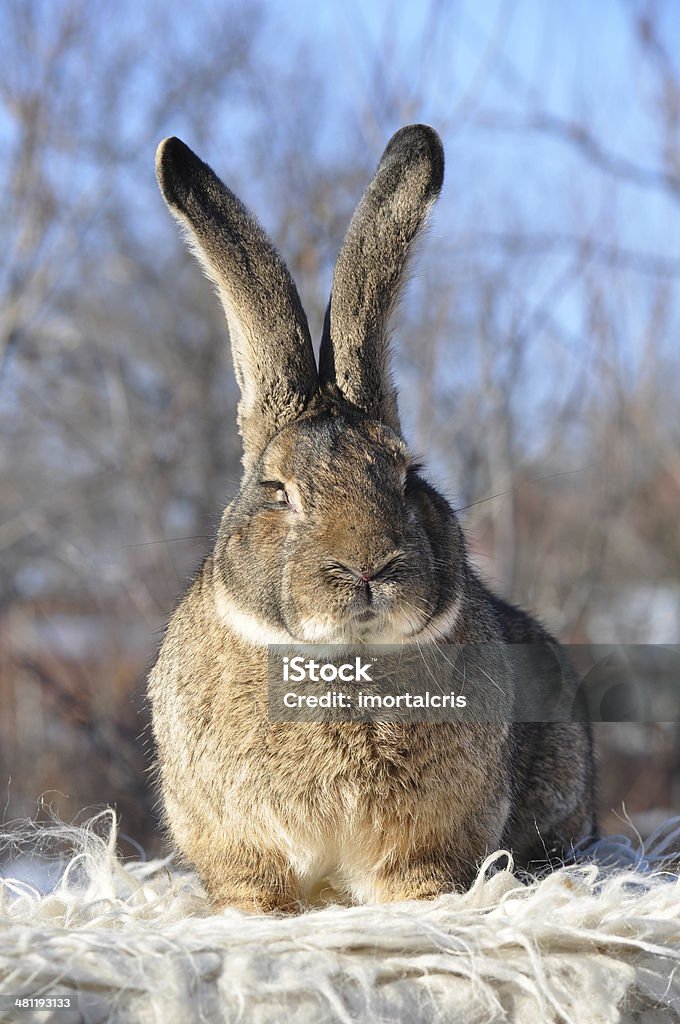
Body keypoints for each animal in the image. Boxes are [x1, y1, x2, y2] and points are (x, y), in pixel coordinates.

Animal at [148, 121, 593, 913]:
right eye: (277, 489)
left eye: (407, 475)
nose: (366, 566)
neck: (344, 659)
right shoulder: (237, 839)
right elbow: (253, 886)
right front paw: (255, 914)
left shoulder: (431, 839)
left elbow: (420, 881)